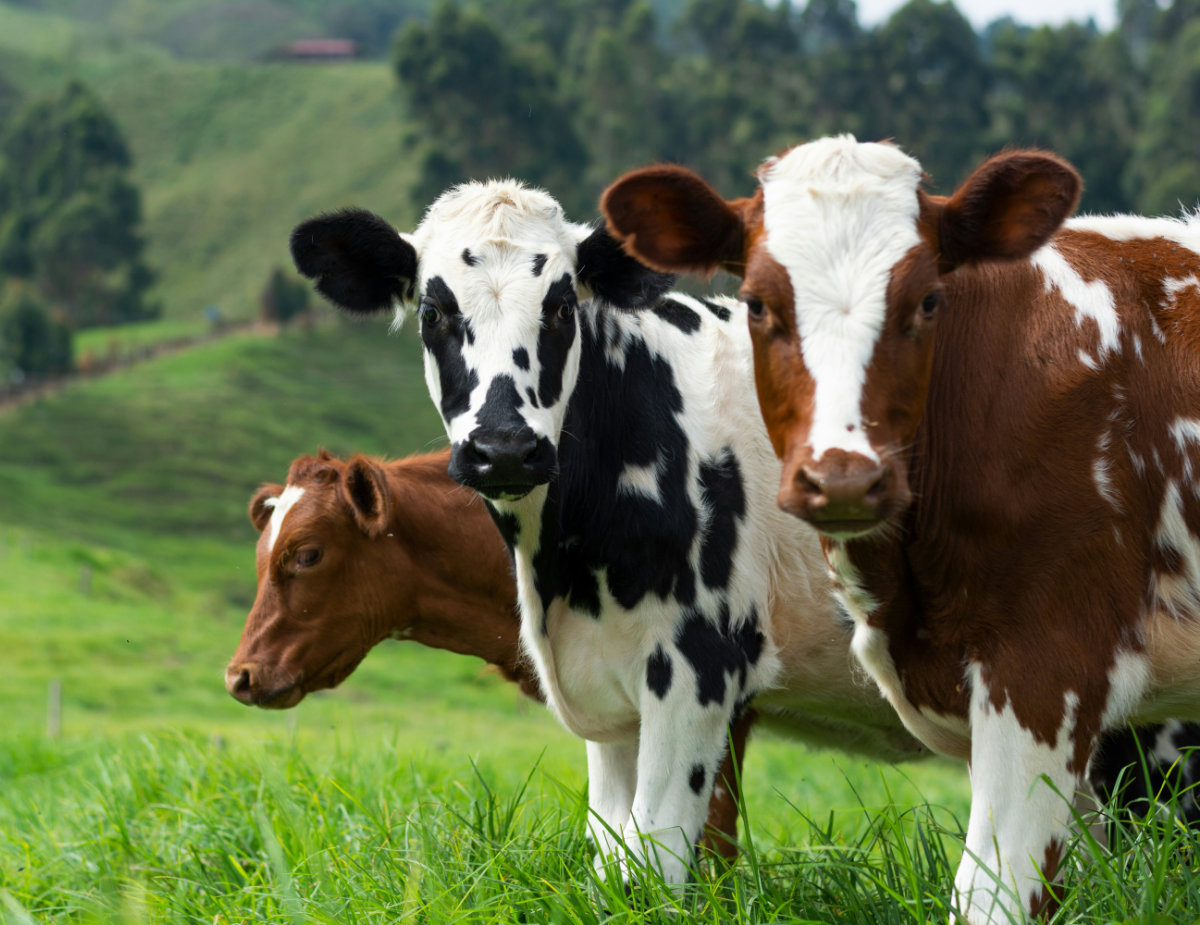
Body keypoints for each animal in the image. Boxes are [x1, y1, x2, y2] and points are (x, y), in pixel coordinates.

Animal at [287, 186, 930, 887]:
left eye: (562, 305)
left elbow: (651, 858)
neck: (564, 574)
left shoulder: (700, 669)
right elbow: (610, 856)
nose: (504, 449)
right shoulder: (612, 703)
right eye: (433, 311)